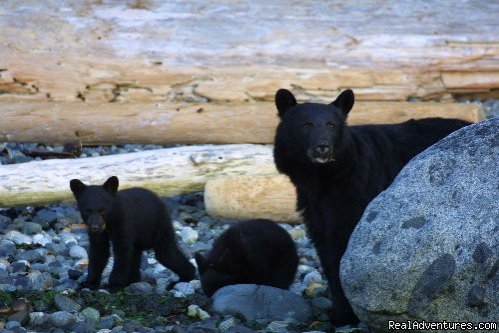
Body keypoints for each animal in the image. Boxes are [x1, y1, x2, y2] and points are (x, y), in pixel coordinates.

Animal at [276, 88, 470, 324]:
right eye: (306, 125)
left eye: (331, 125)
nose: (322, 147)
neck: (322, 178)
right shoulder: (314, 206)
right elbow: (326, 246)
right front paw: (340, 313)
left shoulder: (358, 189)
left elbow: (343, 242)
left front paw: (349, 313)